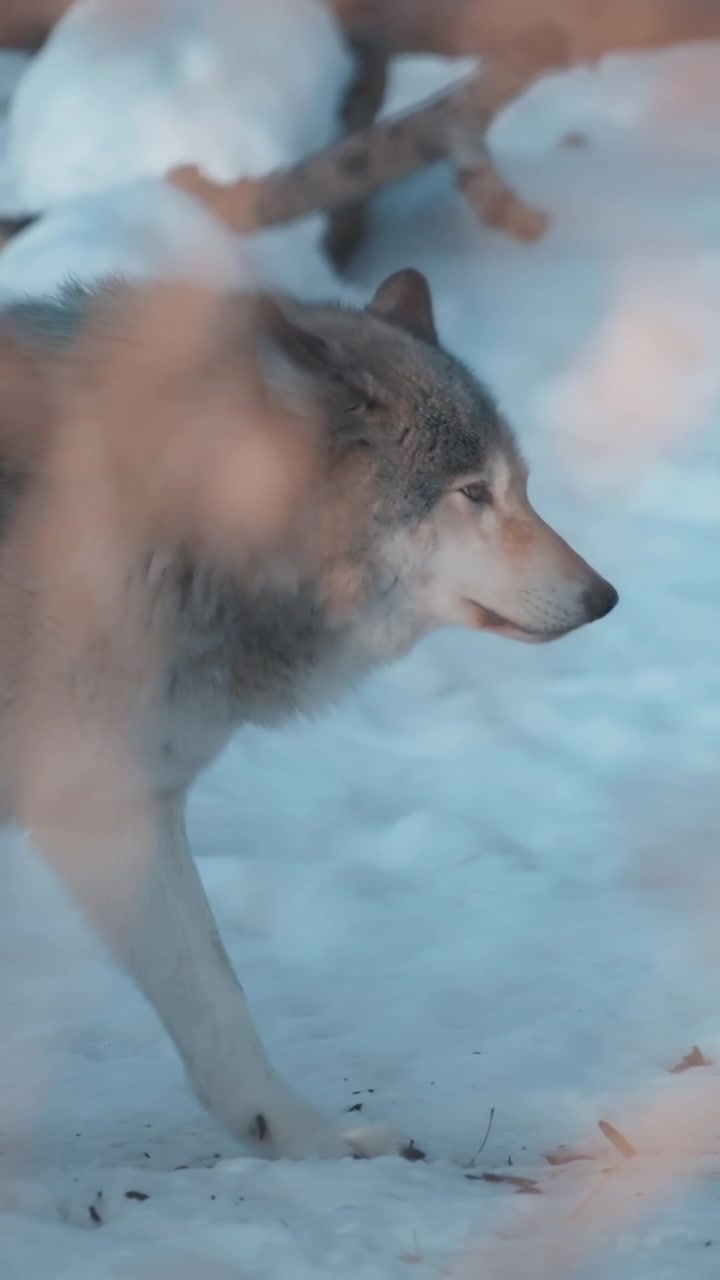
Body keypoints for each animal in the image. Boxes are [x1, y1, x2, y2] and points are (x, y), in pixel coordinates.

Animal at [0, 268, 617, 1161]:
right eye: (472, 492)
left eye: (521, 486)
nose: (605, 598)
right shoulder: (103, 807)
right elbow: (217, 995)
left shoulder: (130, 800)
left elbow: (215, 995)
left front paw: (299, 1137)